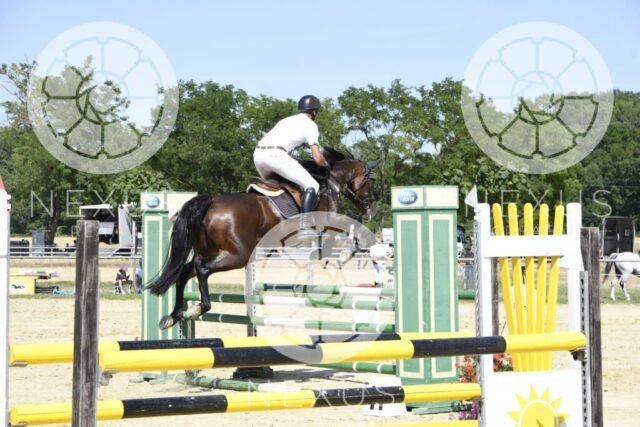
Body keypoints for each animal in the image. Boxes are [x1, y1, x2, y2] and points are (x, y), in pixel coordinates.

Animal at [146, 148, 380, 329]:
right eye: (370, 181)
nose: (371, 211)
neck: (330, 184)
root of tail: (211, 202)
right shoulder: (327, 228)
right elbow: (348, 229)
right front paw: (346, 253)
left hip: (211, 252)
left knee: (185, 272)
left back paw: (174, 316)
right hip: (237, 255)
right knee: (202, 270)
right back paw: (198, 308)